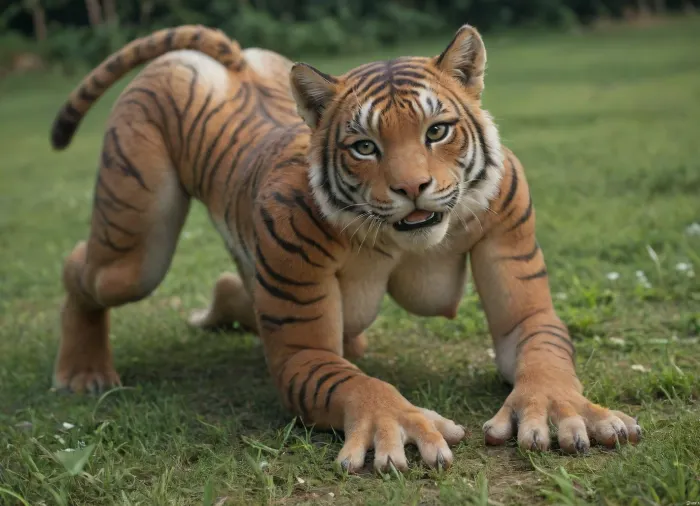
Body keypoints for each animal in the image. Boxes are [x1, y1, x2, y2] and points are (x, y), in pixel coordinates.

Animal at [49, 24, 641, 473]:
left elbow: (542, 348)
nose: (412, 187)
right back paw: (84, 373)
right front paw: (397, 422)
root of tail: (233, 62)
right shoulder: (301, 339)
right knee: (81, 268)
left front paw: (560, 410)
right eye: (364, 146)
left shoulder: (515, 244)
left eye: (437, 131)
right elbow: (350, 383)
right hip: (135, 246)